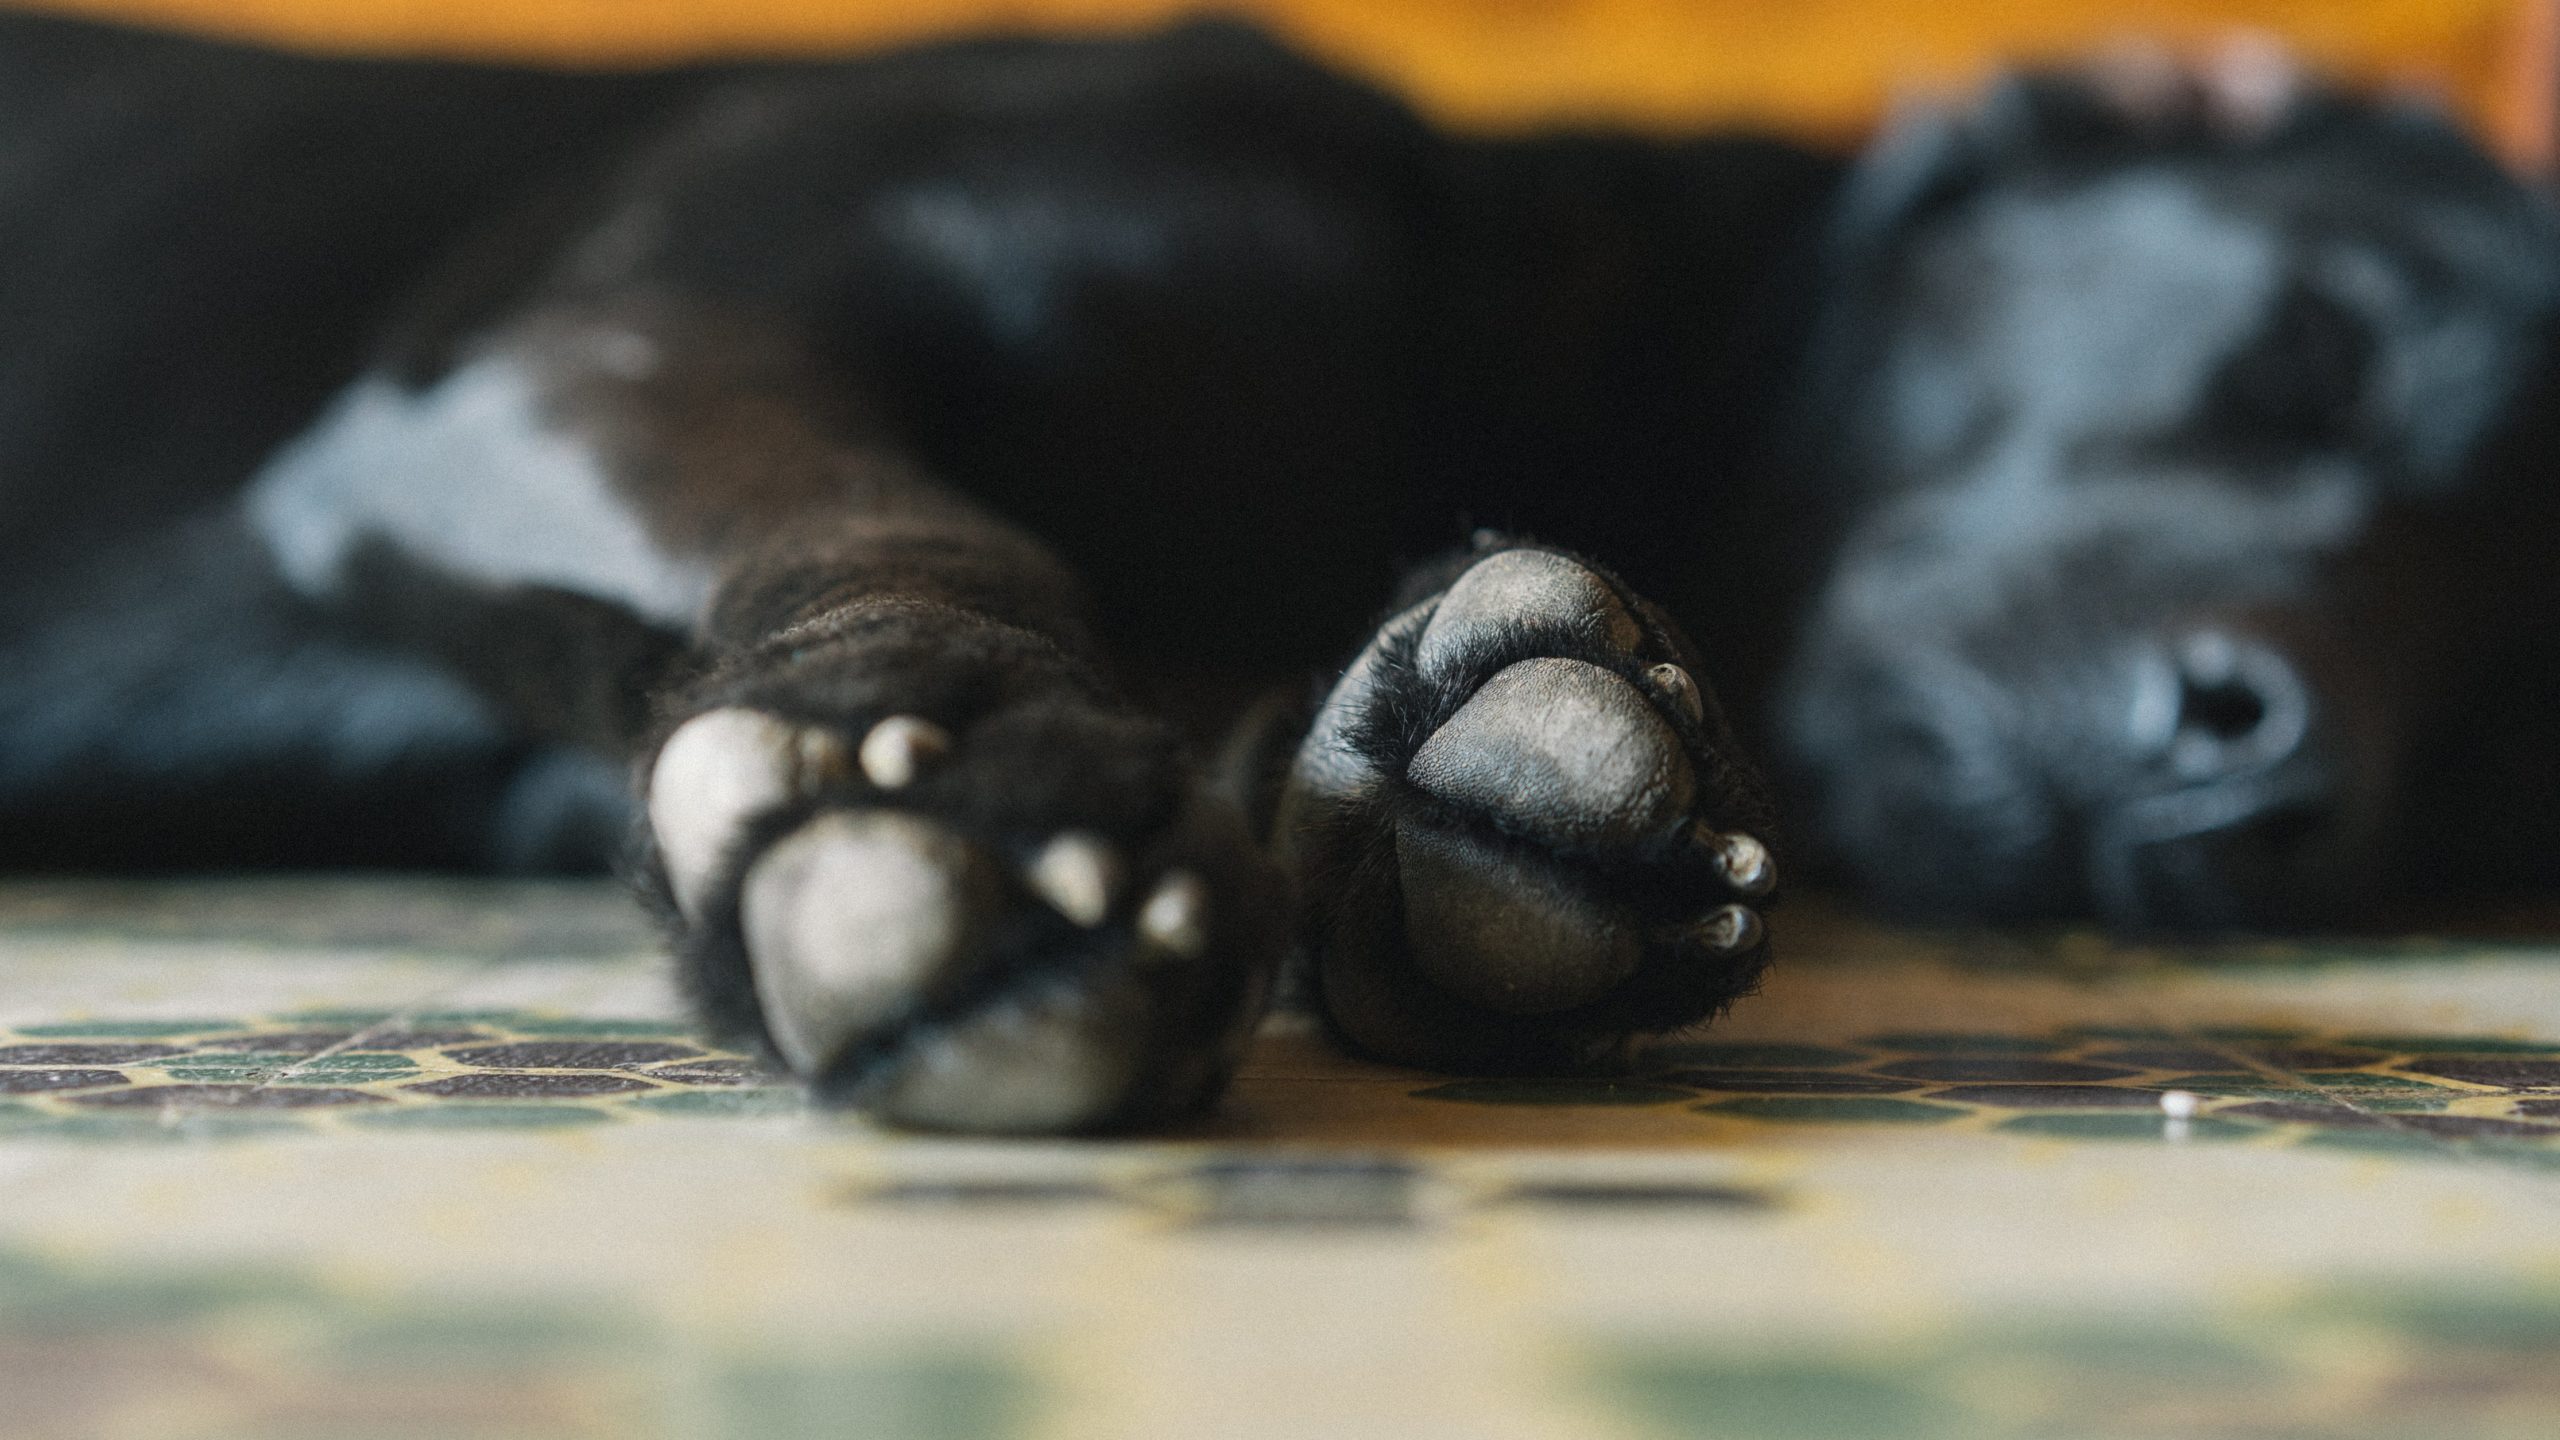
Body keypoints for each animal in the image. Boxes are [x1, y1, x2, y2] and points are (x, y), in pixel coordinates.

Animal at [0, 14, 2549, 1132]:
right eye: (2310, 359)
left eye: (2505, 726)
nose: (2259, 767)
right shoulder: (595, 347)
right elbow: (920, 532)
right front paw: (957, 769)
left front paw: (1458, 794)